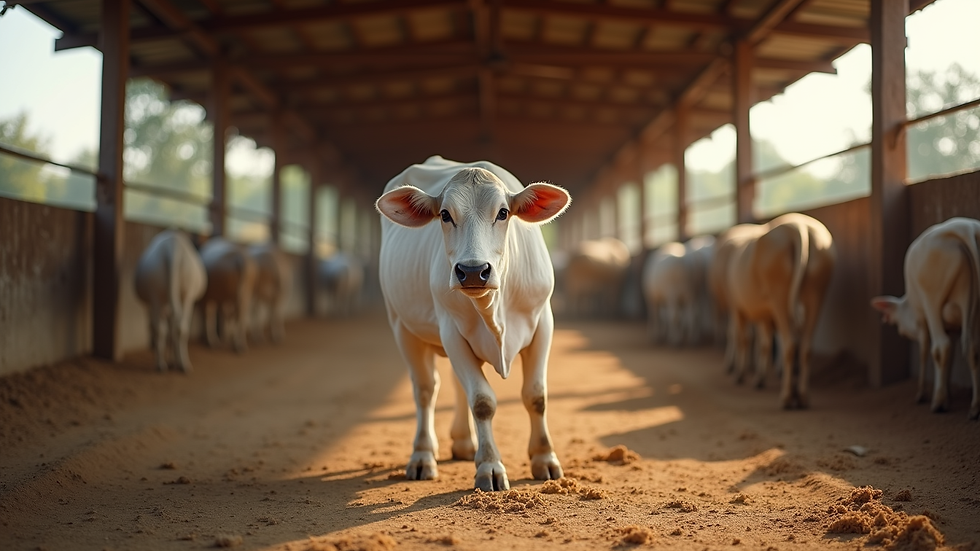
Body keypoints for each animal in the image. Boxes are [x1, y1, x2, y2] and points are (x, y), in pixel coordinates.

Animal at [134, 229, 207, 373]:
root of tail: (173, 247)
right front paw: (173, 360)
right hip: (186, 295)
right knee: (178, 327)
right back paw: (182, 364)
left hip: (157, 294)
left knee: (163, 328)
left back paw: (162, 363)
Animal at [375, 155, 570, 491]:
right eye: (444, 214)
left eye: (503, 212)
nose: (472, 270)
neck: (495, 312)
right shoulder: (450, 330)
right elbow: (482, 401)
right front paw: (489, 465)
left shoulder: (543, 322)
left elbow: (536, 396)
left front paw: (544, 458)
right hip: (401, 324)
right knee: (426, 389)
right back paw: (423, 455)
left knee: (454, 383)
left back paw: (465, 443)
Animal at [726, 213, 836, 409]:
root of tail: (799, 228)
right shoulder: (764, 314)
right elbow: (764, 343)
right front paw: (758, 379)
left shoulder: (738, 308)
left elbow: (744, 339)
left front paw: (741, 375)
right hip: (818, 292)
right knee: (806, 347)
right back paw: (802, 396)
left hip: (780, 296)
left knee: (789, 344)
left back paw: (786, 397)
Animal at [871, 217, 980, 420]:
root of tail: (965, 227)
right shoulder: (951, 327)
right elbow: (951, 357)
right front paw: (946, 392)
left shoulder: (922, 321)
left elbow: (924, 351)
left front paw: (924, 393)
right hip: (970, 303)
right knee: (972, 349)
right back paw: (975, 406)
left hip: (932, 300)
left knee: (941, 347)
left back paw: (938, 404)